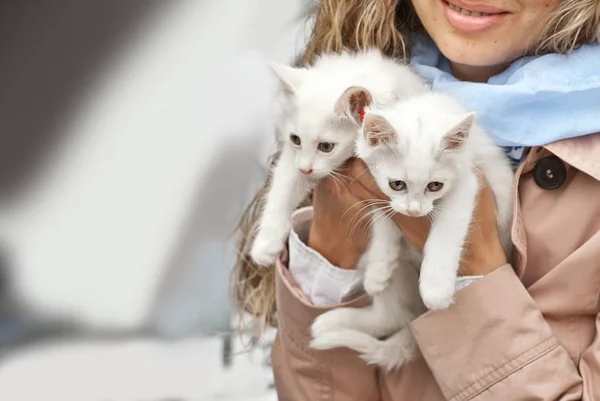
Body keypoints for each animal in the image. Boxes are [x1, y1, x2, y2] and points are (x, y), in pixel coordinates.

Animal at [251, 48, 428, 264]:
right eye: (295, 139)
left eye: (326, 146)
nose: (305, 169)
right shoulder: (293, 159)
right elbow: (282, 191)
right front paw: (265, 246)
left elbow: (387, 230)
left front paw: (379, 264)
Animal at [312, 87, 512, 368]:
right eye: (397, 184)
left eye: (435, 186)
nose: (414, 211)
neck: (424, 111)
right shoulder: (374, 185)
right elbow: (385, 214)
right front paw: (379, 266)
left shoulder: (468, 182)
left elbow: (446, 233)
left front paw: (435, 288)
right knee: (392, 317)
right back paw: (333, 320)